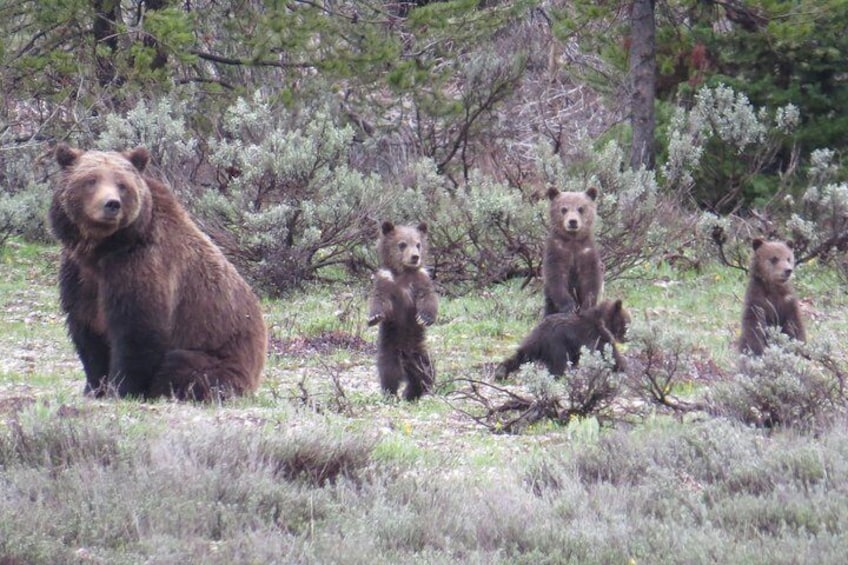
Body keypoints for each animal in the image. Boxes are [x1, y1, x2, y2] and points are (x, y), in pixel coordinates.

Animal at [48, 145, 264, 400]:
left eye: (122, 184)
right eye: (91, 180)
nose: (111, 204)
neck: (102, 249)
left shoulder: (142, 266)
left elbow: (137, 332)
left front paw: (121, 388)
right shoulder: (79, 277)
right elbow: (87, 333)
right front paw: (94, 387)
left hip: (221, 359)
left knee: (181, 366)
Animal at [368, 220, 440, 400]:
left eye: (418, 244)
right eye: (402, 244)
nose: (415, 257)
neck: (404, 273)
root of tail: (406, 357)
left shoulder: (421, 279)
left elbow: (428, 298)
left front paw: (425, 318)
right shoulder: (386, 282)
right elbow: (379, 300)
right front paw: (374, 317)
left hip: (420, 354)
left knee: (425, 373)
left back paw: (412, 393)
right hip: (390, 346)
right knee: (389, 371)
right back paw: (391, 393)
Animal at [490, 298, 628, 382]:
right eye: (627, 322)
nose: (627, 338)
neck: (605, 322)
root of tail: (541, 335)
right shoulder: (595, 334)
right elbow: (608, 352)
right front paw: (621, 365)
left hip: (534, 340)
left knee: (521, 354)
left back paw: (501, 372)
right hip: (557, 344)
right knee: (559, 364)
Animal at [544, 186, 604, 316]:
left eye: (581, 208)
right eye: (564, 209)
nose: (572, 221)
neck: (573, 240)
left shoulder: (586, 252)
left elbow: (590, 280)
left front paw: (586, 306)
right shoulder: (557, 251)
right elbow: (556, 278)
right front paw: (569, 306)